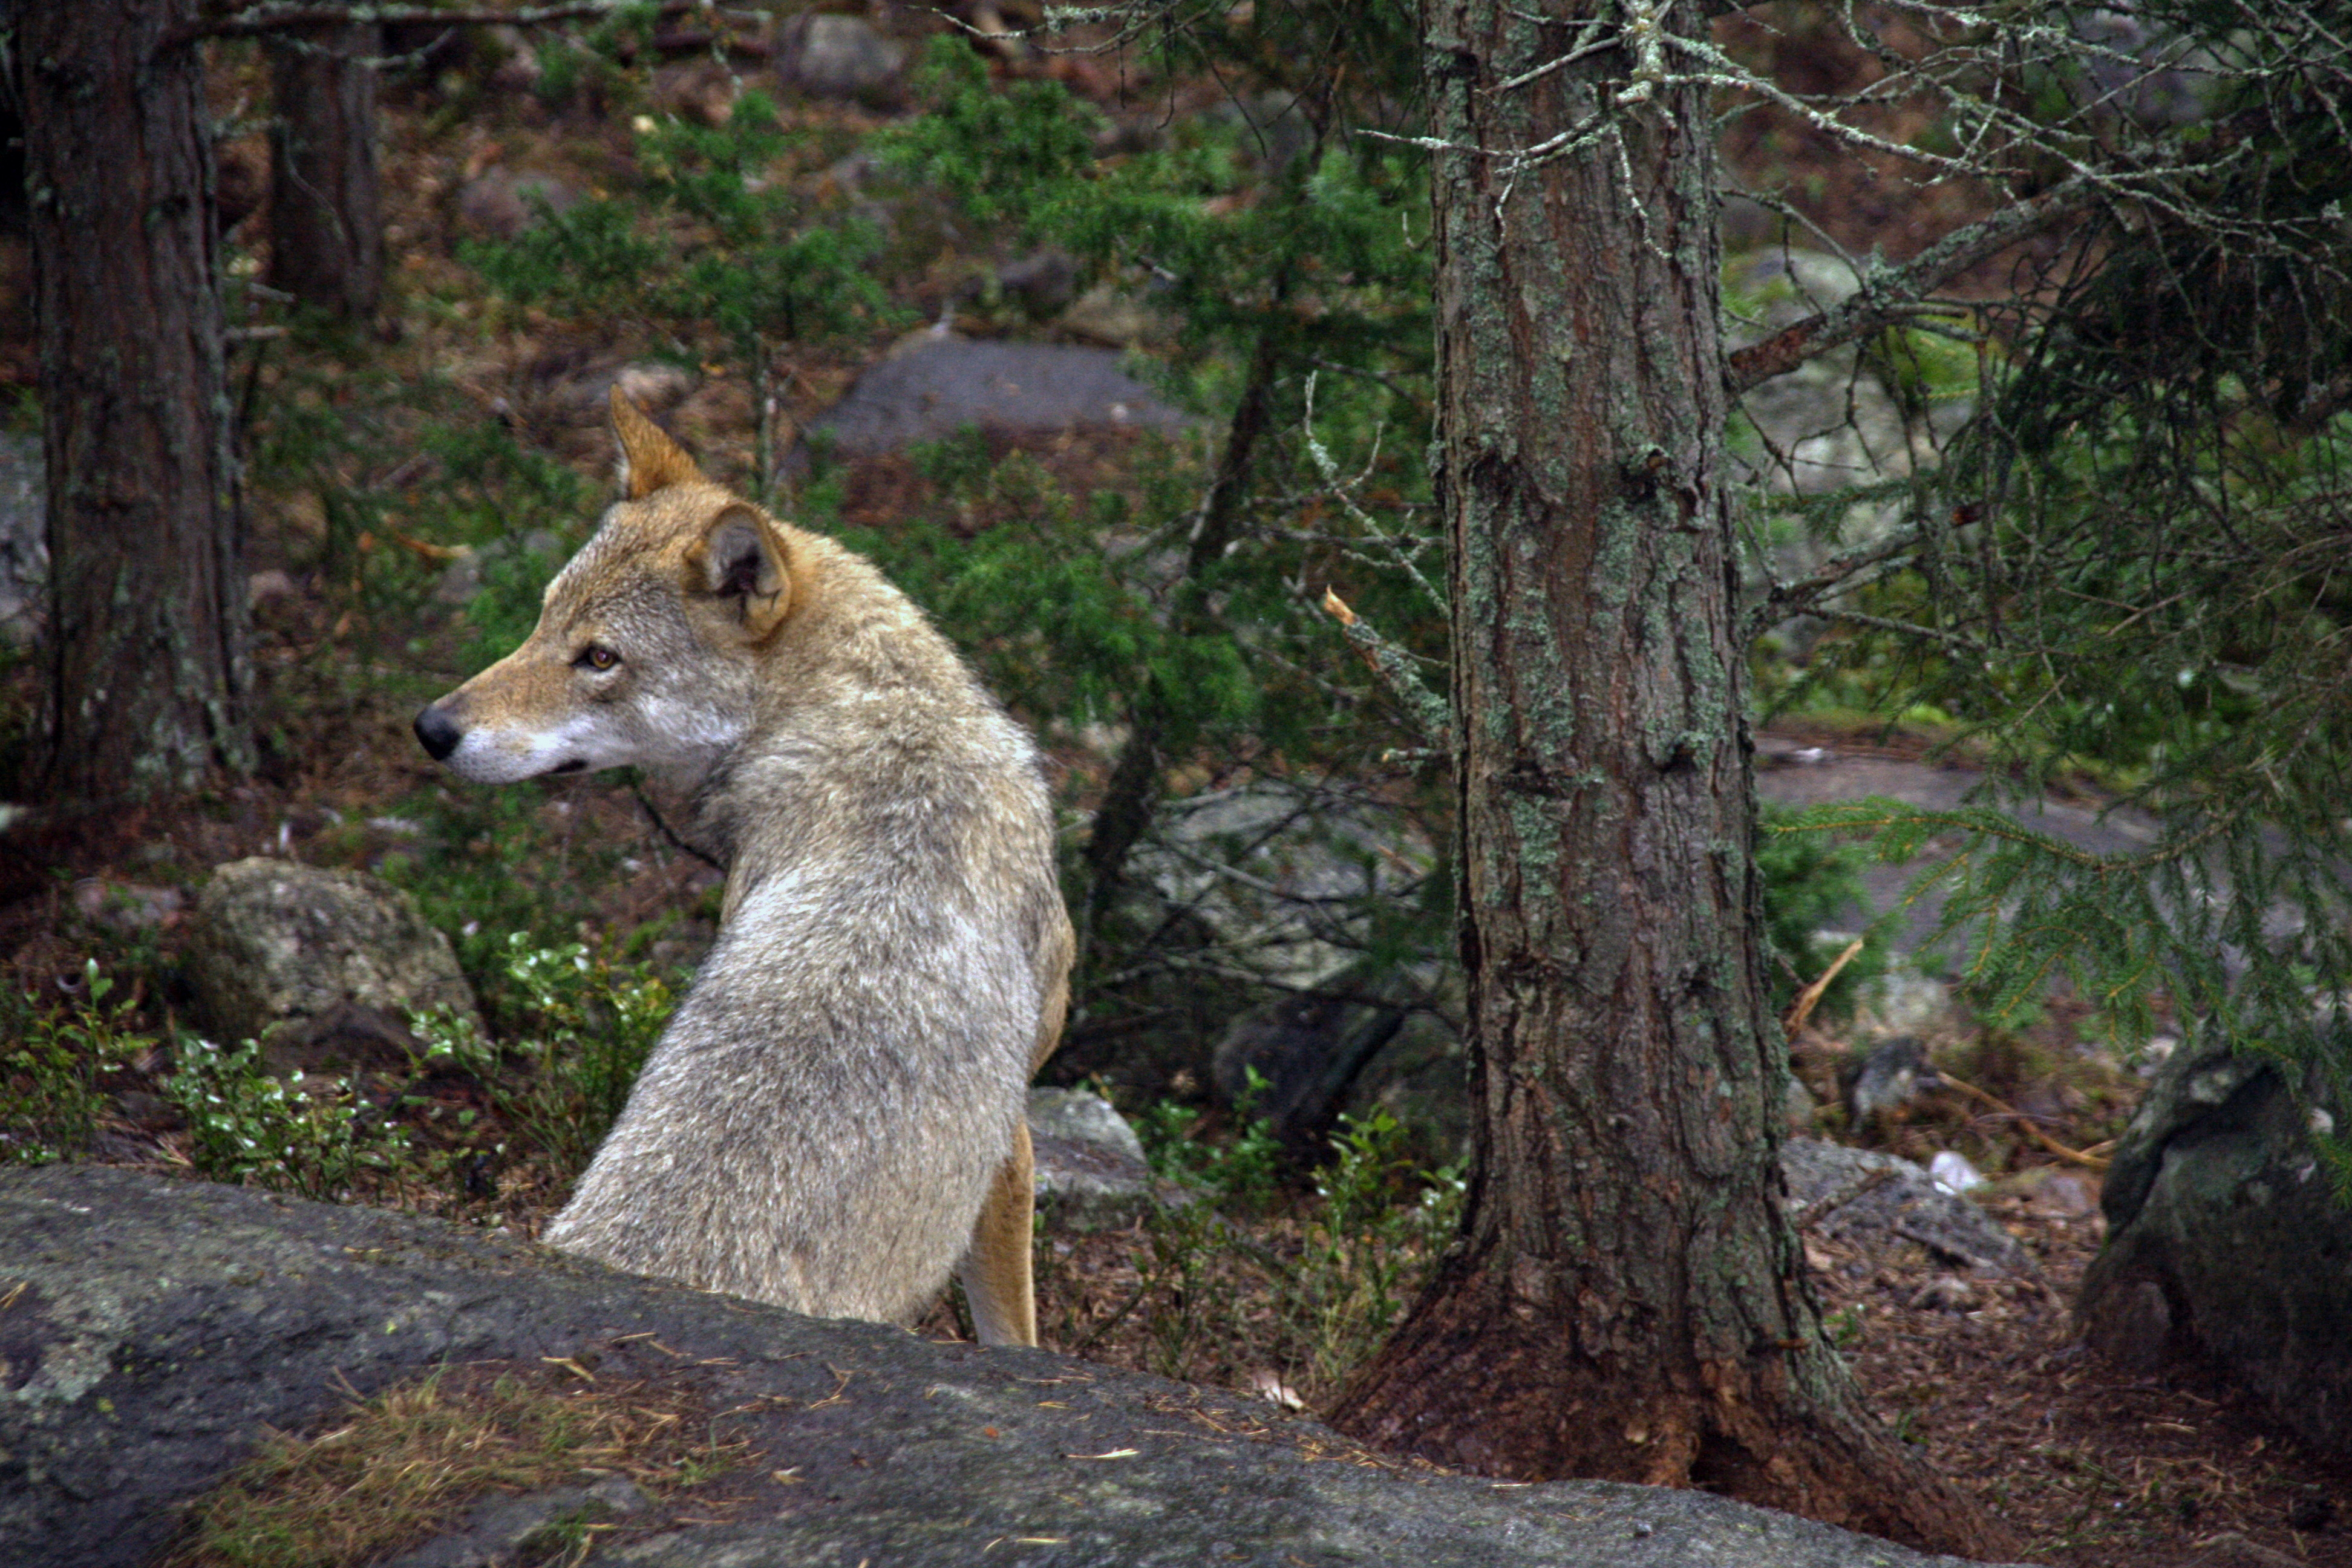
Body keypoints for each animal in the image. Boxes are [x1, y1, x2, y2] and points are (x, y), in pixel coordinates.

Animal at [413, 390, 1071, 1347]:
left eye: (599, 658)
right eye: (542, 621)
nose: (431, 728)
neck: (879, 724)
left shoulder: (1014, 1131)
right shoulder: (1014, 1130)